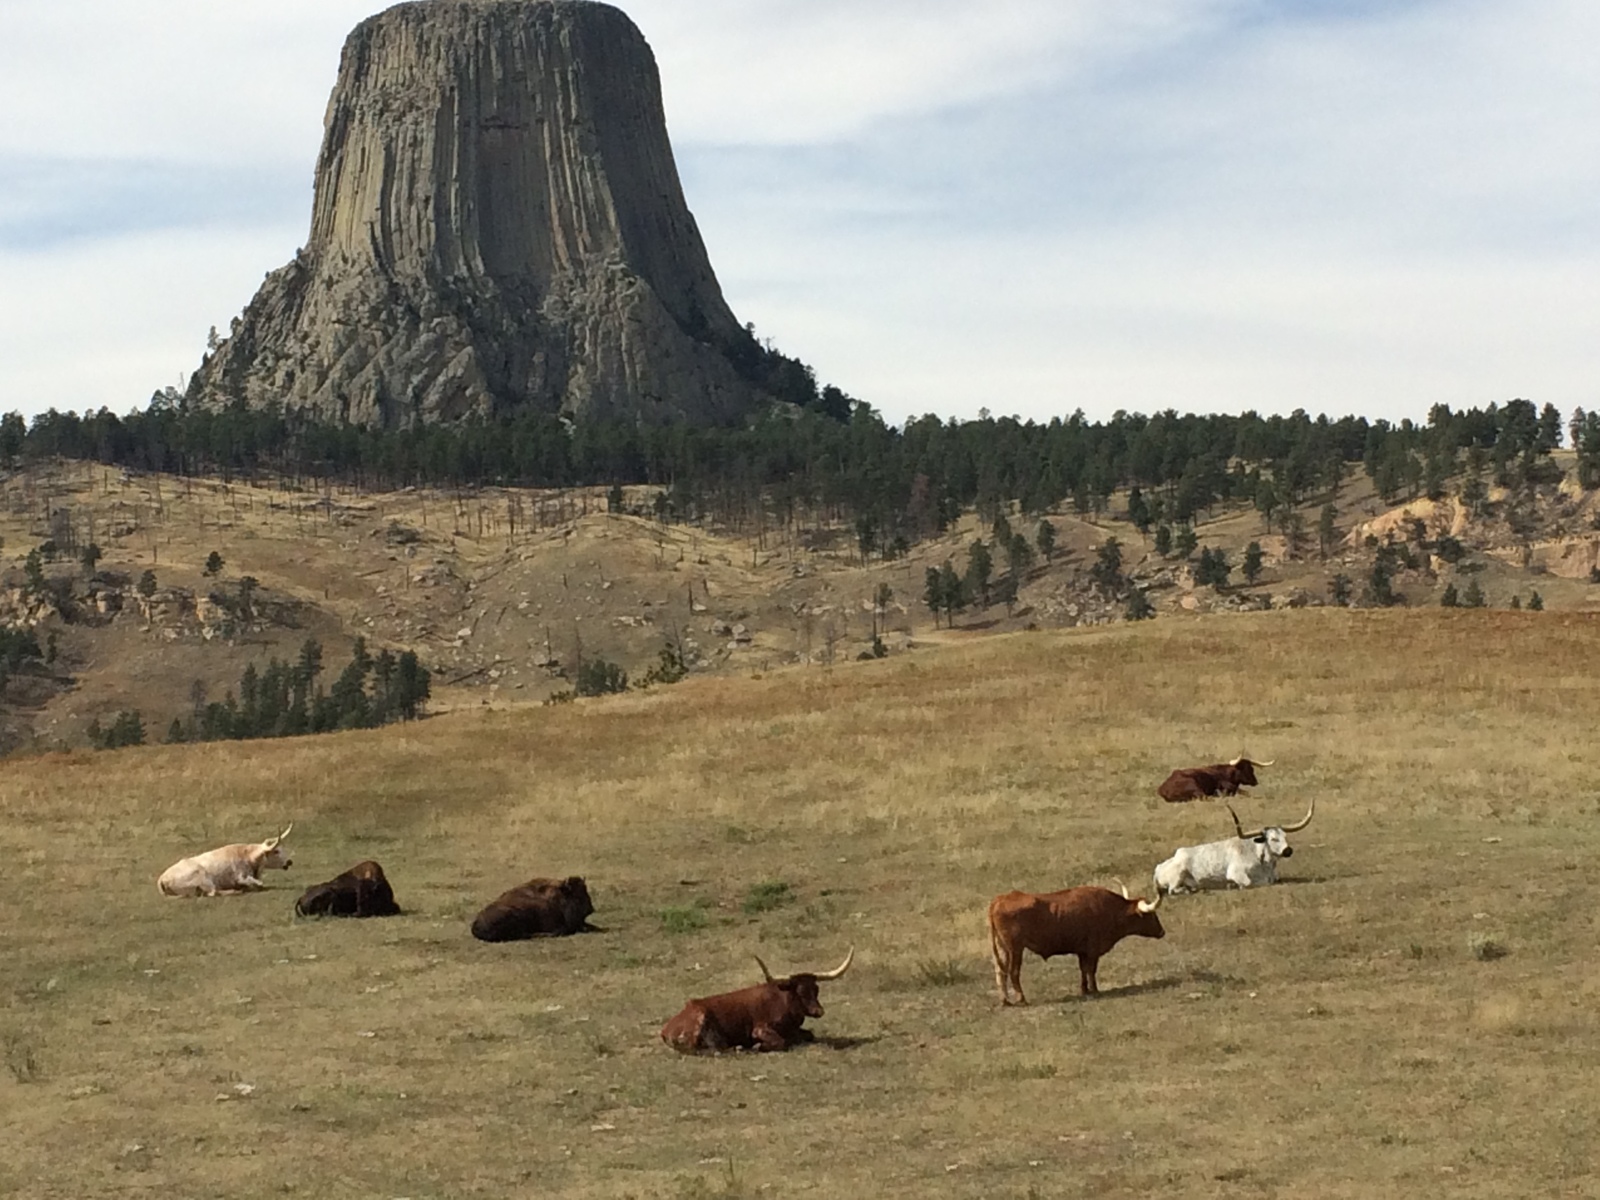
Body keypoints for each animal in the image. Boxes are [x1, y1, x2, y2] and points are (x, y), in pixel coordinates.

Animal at [157, 832, 296, 896]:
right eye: (276, 851)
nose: (289, 861)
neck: (247, 856)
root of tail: (162, 879)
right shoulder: (240, 877)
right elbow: (257, 883)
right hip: (203, 877)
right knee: (213, 892)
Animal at [659, 953, 857, 1056]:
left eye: (816, 989)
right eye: (800, 991)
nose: (819, 1011)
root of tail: (665, 1029)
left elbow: (809, 1035)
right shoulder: (760, 1029)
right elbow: (780, 1041)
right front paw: (758, 1046)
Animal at [985, 883, 1164, 1004]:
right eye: (1151, 915)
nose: (1162, 932)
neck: (1109, 909)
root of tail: (999, 899)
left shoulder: (1082, 951)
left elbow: (1083, 970)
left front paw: (1085, 990)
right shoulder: (1092, 951)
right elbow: (1091, 970)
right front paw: (1095, 990)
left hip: (1002, 948)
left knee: (1000, 972)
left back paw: (1005, 1001)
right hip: (1015, 949)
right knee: (1013, 972)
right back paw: (1021, 999)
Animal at [1158, 803, 1318, 896]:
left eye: (1284, 836)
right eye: (1273, 839)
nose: (1288, 850)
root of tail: (1159, 868)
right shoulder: (1235, 872)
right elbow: (1248, 883)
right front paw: (1234, 885)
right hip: (1177, 876)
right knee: (1172, 890)